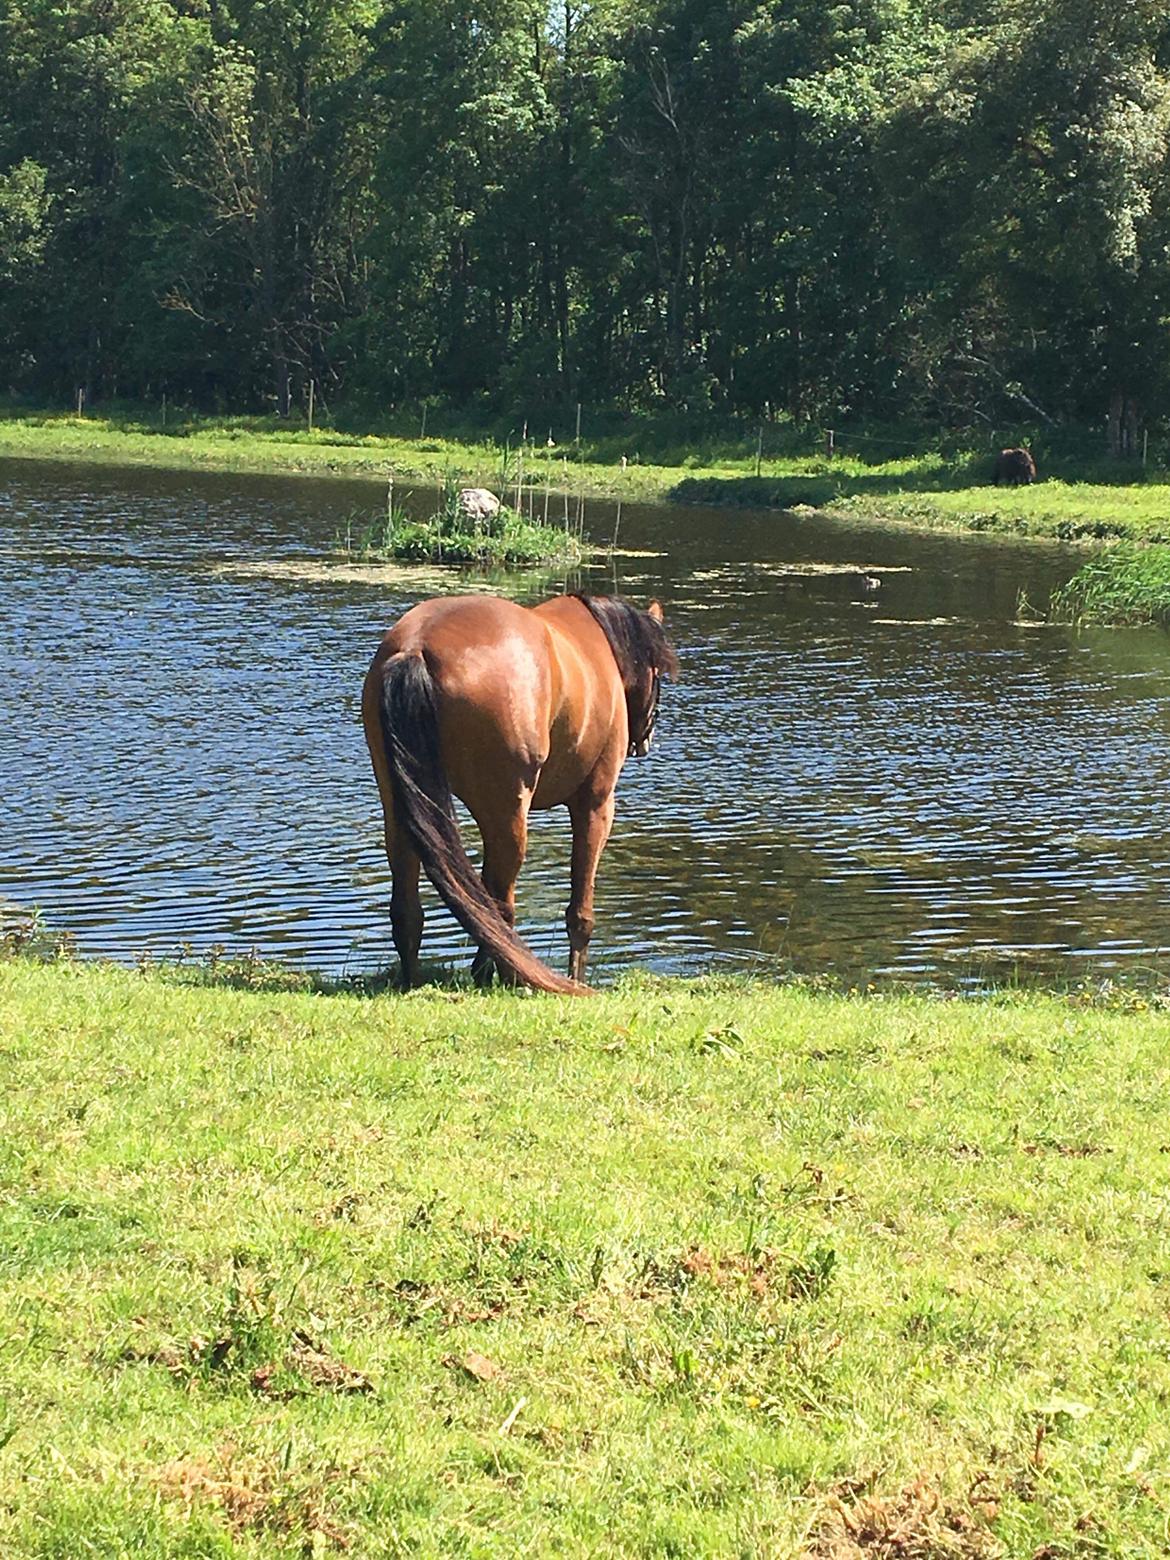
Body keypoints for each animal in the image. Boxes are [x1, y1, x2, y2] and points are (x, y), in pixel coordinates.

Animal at [361, 589, 683, 992]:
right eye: (658, 674)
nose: (646, 740)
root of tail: (416, 647)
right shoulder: (596, 804)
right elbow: (580, 912)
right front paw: (575, 976)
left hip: (400, 806)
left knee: (410, 909)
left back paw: (414, 981)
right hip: (507, 814)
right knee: (498, 906)